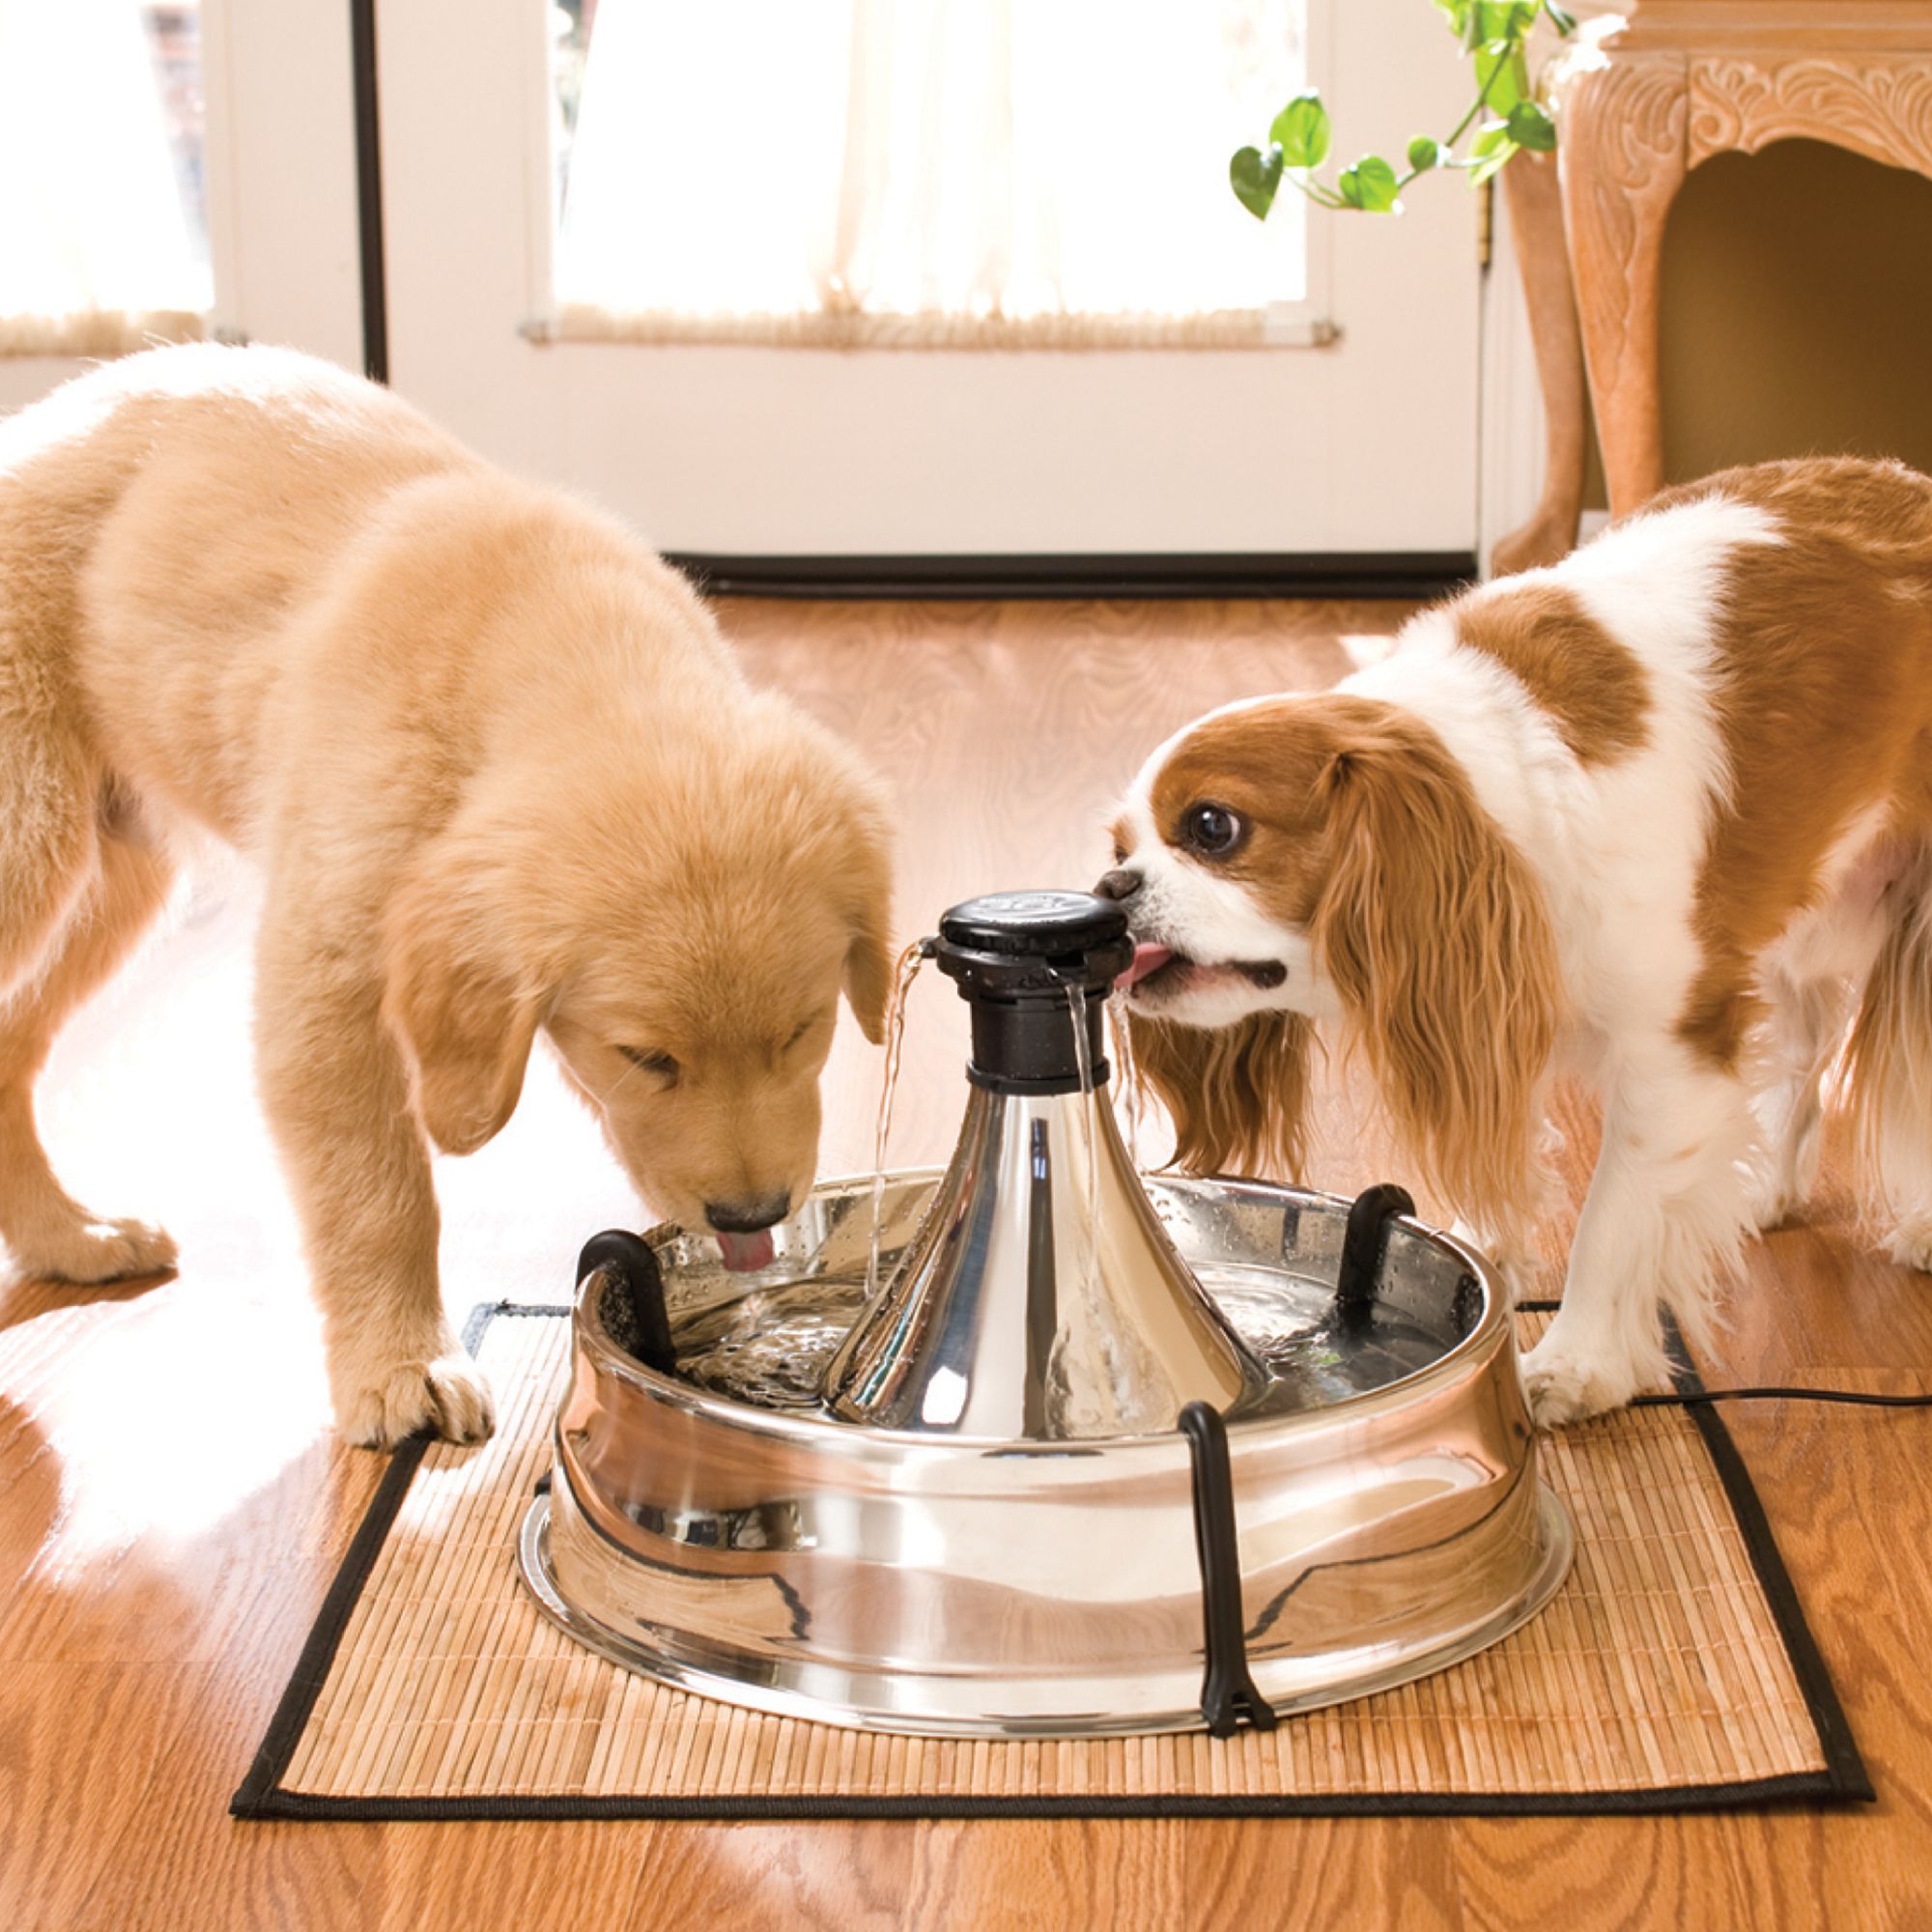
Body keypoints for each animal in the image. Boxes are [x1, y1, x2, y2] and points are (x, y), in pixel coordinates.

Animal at [0, 340, 889, 1453]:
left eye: (803, 1031)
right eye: (646, 1055)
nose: (748, 1217)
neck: (558, 656)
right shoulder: (324, 983)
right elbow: (379, 1193)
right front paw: (400, 1362)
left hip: (112, 874)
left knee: (10, 1040)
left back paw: (66, 1235)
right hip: (29, 834)